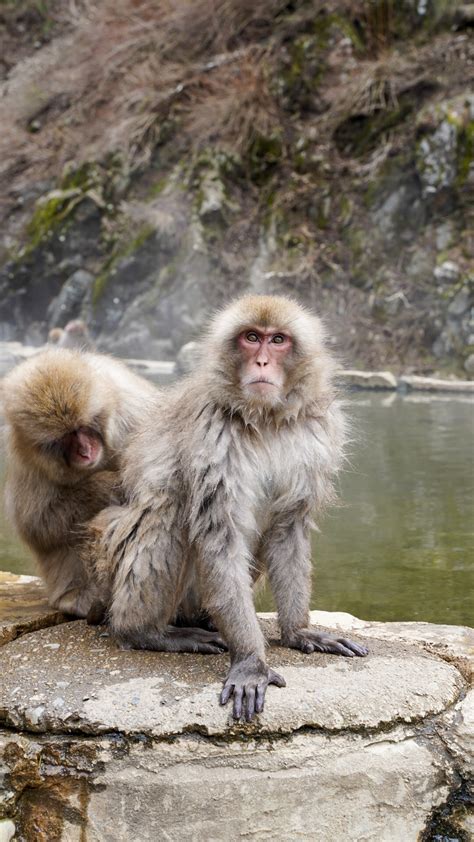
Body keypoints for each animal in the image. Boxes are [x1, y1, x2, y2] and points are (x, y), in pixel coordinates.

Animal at [1, 348, 157, 616]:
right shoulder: (26, 460)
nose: (85, 452)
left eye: (83, 428)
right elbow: (37, 523)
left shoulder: (134, 414)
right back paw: (77, 597)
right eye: (66, 438)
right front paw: (104, 485)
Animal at [90, 296, 368, 716]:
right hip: (114, 572)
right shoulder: (212, 432)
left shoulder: (314, 435)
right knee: (169, 509)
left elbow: (287, 528)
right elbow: (220, 535)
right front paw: (252, 662)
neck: (266, 418)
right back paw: (145, 631)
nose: (263, 362)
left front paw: (298, 631)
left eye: (278, 340)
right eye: (251, 338)